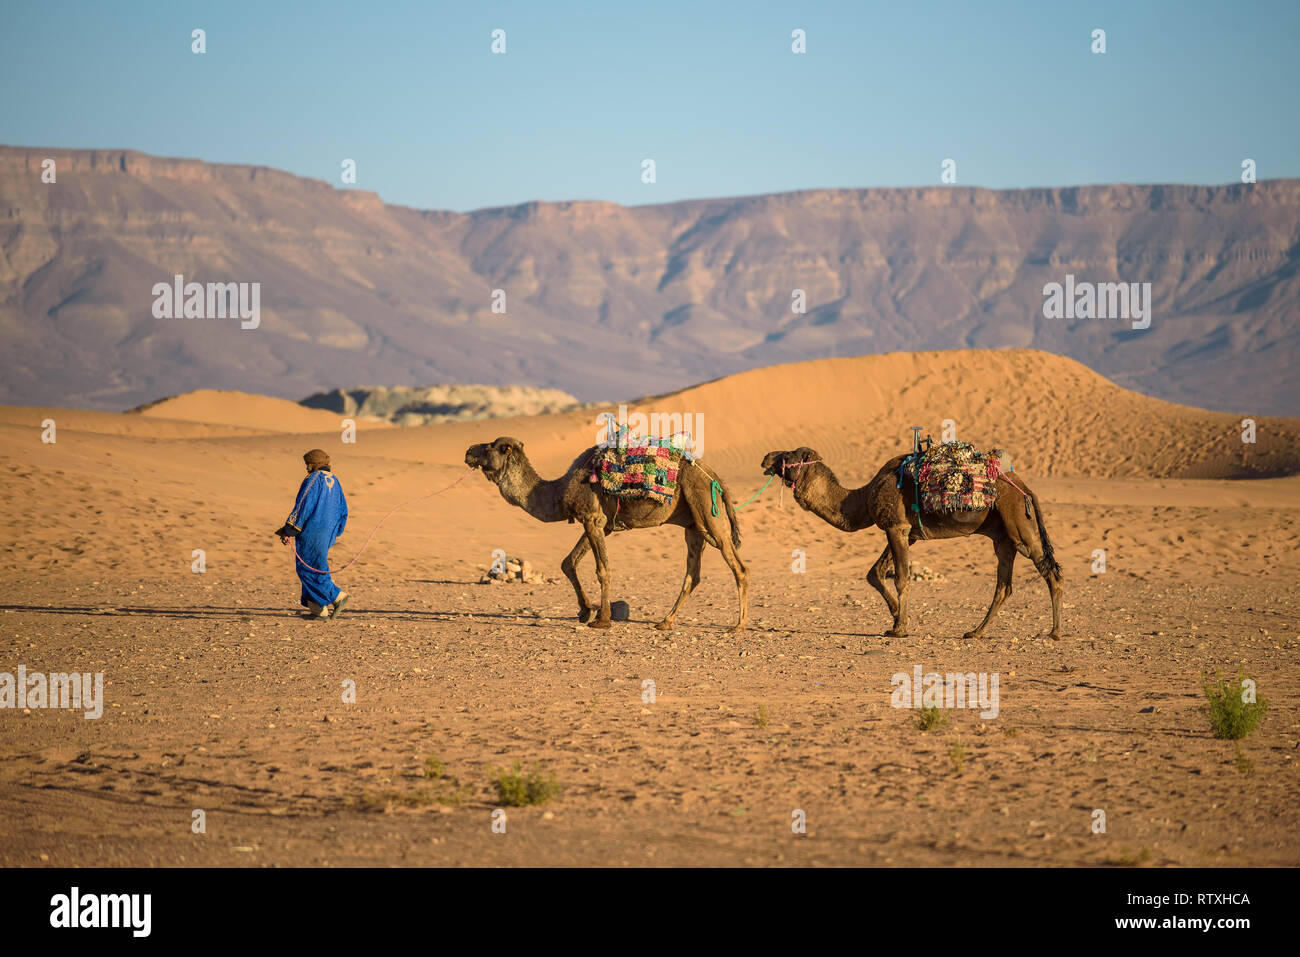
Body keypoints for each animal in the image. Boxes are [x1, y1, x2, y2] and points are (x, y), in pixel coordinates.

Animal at [467, 436, 754, 631]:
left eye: (491, 446)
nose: (468, 451)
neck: (558, 492)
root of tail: (714, 476)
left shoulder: (592, 518)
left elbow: (602, 569)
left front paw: (601, 619)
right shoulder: (599, 523)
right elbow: (568, 562)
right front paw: (585, 611)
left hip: (708, 512)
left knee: (739, 568)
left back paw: (738, 626)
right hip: (694, 526)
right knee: (692, 575)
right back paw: (665, 621)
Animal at [759, 444, 1060, 639]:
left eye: (787, 455)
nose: (765, 458)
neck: (862, 497)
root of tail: (1026, 489)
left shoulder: (896, 528)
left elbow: (901, 578)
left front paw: (899, 628)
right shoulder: (906, 533)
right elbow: (874, 573)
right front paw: (895, 615)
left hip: (1019, 524)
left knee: (1050, 572)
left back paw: (1055, 632)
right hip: (1004, 538)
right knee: (1004, 586)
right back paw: (975, 632)